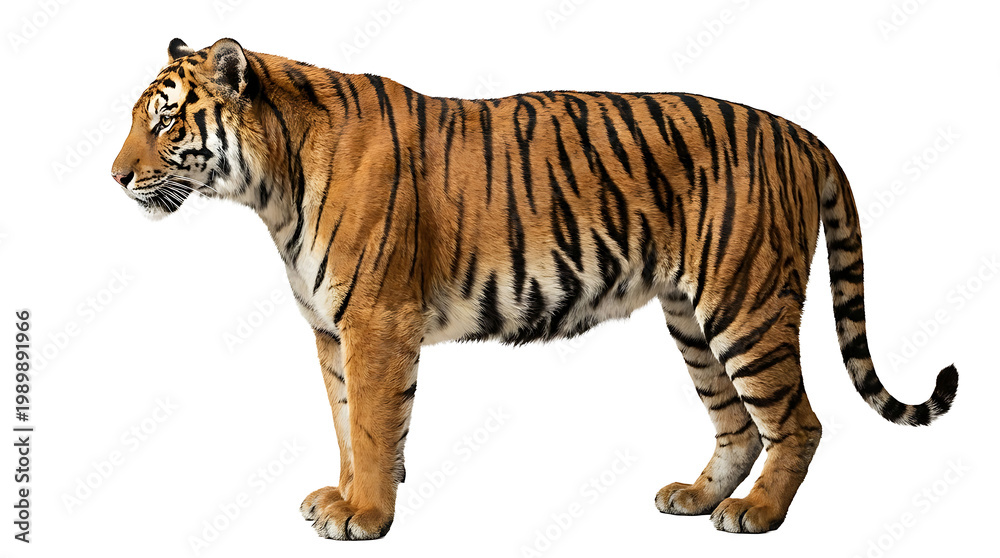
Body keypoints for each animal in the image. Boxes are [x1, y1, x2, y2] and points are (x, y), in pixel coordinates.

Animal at [111, 38, 958, 538]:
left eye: (165, 123)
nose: (115, 177)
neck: (271, 187)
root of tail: (800, 132)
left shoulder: (376, 322)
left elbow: (376, 426)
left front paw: (367, 516)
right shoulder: (330, 330)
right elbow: (347, 422)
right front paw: (341, 499)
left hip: (745, 305)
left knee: (799, 422)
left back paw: (754, 514)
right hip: (691, 318)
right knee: (738, 425)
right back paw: (695, 498)